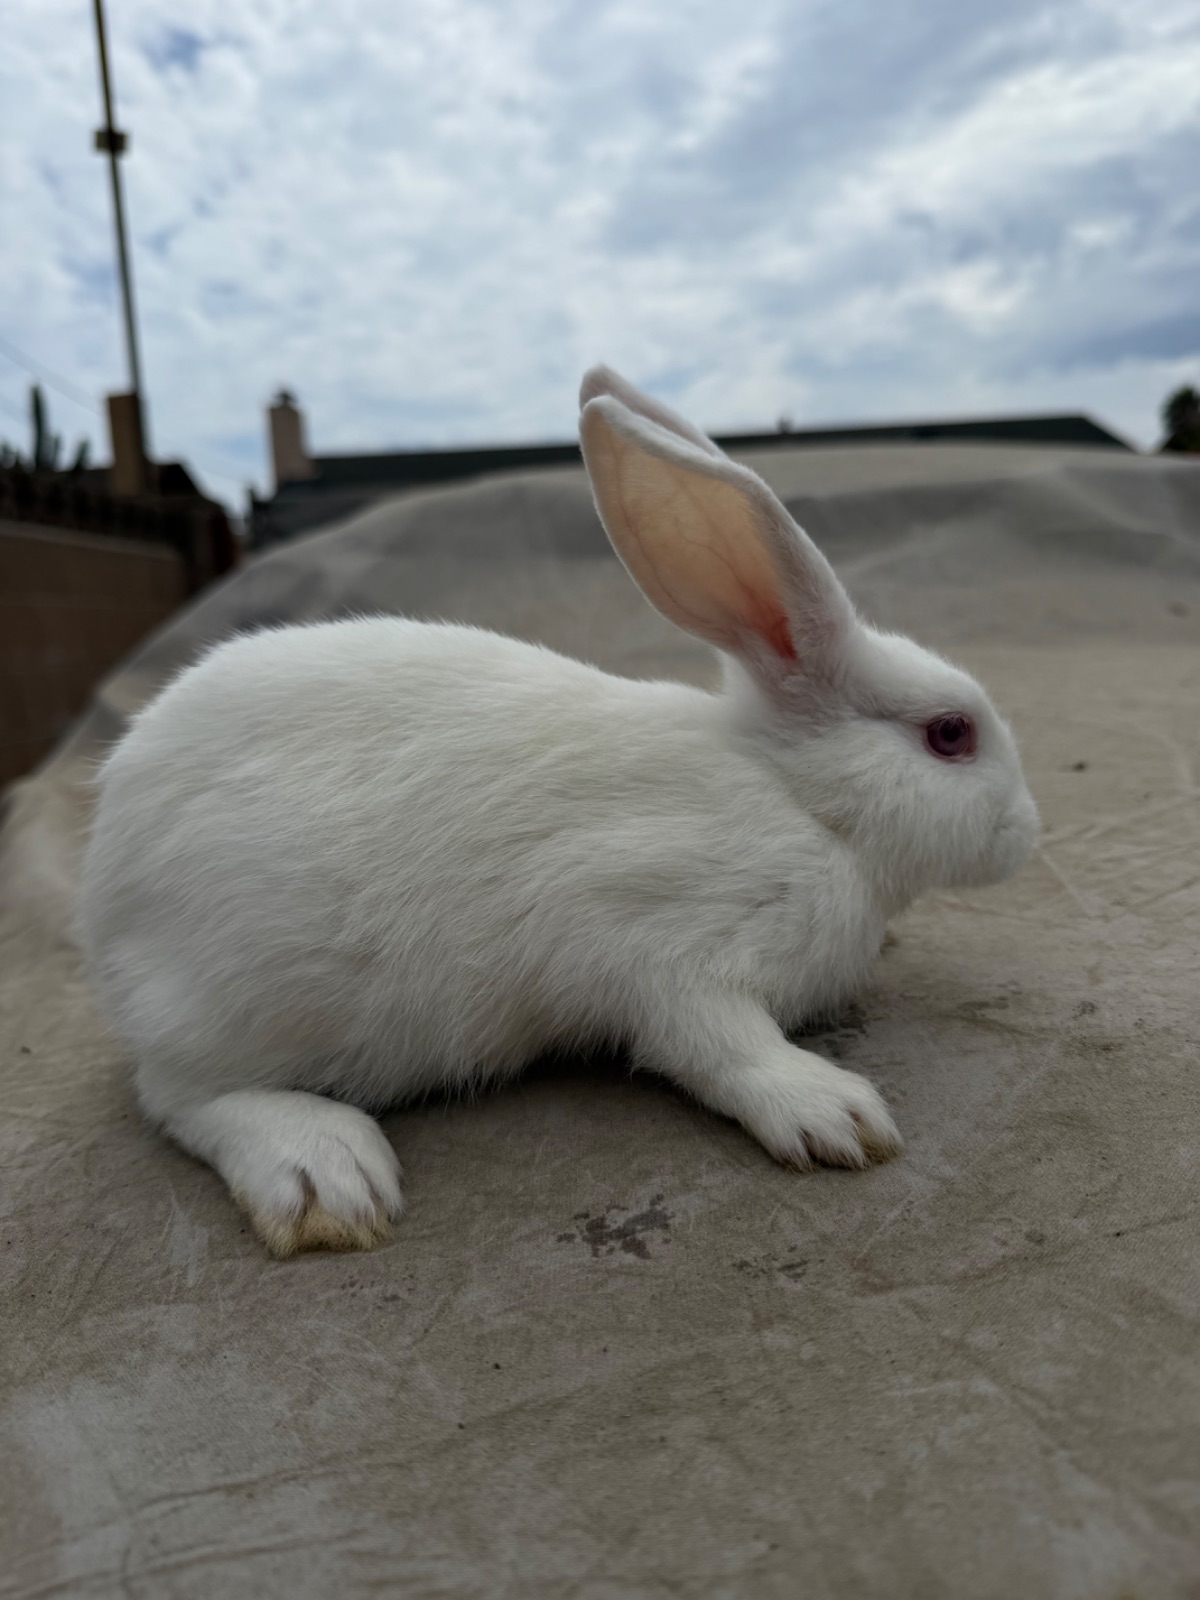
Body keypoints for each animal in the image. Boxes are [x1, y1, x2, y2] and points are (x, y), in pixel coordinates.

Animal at [78, 366, 1040, 1256]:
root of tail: (109, 901)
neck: (803, 801)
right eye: (950, 734)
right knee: (177, 1094)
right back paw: (327, 1175)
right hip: (247, 992)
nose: (1029, 833)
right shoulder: (662, 941)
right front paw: (839, 1116)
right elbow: (722, 1043)